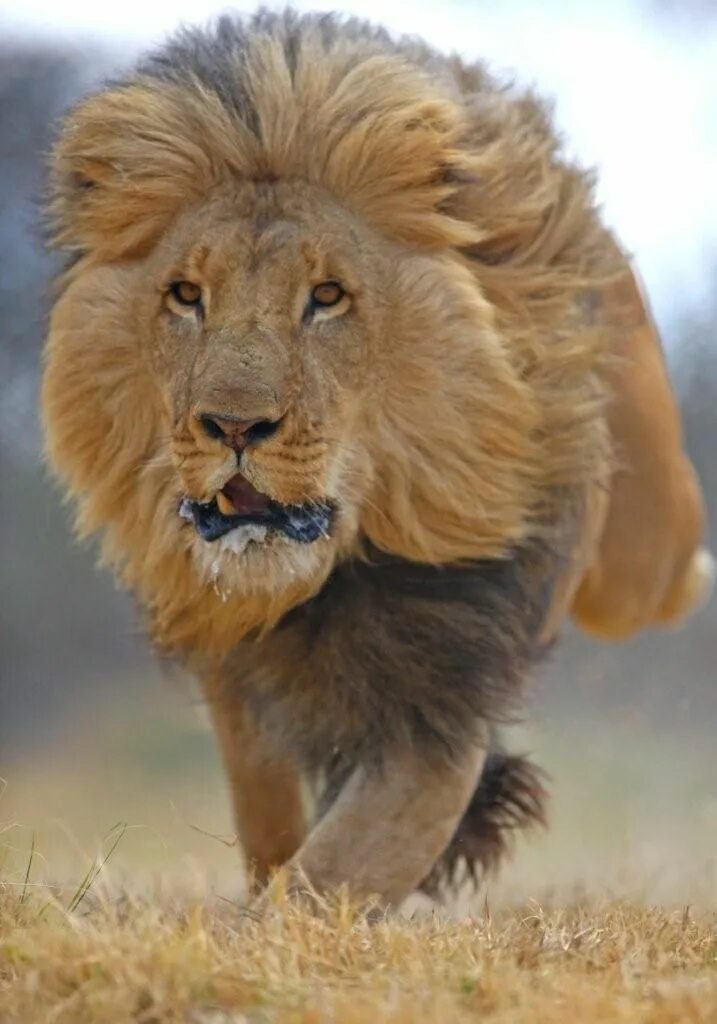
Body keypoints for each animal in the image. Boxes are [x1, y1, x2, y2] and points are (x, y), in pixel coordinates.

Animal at [42, 10, 713, 908]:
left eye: (327, 297)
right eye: (185, 296)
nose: (234, 426)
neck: (327, 580)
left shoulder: (441, 706)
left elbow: (324, 874)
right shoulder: (235, 668)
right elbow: (272, 828)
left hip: (640, 544)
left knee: (653, 570)